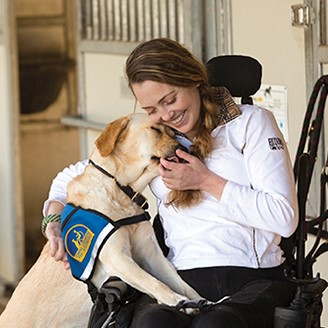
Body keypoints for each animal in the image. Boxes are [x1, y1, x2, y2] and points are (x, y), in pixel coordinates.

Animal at [0, 112, 201, 326]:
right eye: (155, 129)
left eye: (173, 132)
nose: (184, 148)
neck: (120, 190)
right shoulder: (117, 258)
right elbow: (155, 283)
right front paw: (179, 301)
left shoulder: (151, 254)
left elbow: (179, 281)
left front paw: (198, 300)